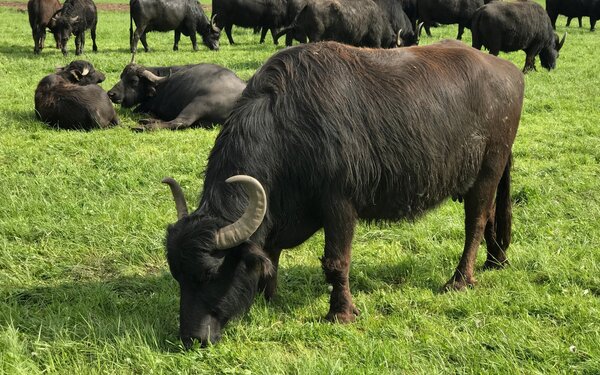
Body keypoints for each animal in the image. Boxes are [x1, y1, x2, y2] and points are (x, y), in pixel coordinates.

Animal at [108, 63, 246, 131]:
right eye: (121, 76)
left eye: (134, 81)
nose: (111, 93)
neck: (159, 85)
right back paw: (146, 120)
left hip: (197, 104)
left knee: (180, 122)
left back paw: (144, 126)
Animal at [161, 39, 524, 348]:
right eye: (177, 275)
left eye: (210, 274)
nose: (193, 338)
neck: (289, 126)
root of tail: (509, 71)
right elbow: (272, 252)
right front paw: (270, 297)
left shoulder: (339, 204)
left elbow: (336, 261)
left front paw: (341, 312)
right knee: (492, 217)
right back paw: (495, 260)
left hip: (488, 170)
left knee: (476, 222)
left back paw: (460, 279)